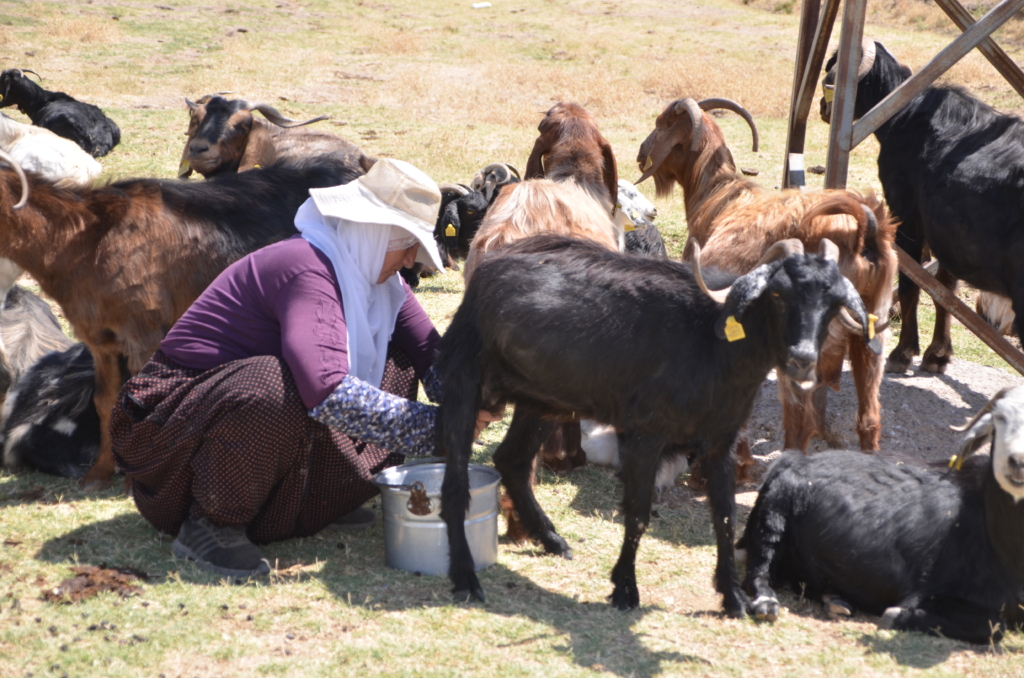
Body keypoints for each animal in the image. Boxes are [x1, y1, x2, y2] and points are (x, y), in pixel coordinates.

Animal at [428, 233, 876, 614]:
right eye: (779, 294)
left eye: (833, 303)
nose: (802, 359)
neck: (710, 342)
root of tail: (487, 269)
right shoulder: (644, 436)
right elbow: (638, 513)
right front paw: (625, 589)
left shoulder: (721, 442)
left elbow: (725, 516)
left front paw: (733, 597)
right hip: (464, 380)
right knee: (455, 483)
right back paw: (465, 578)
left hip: (541, 402)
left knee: (512, 462)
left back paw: (553, 540)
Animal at [634, 96, 892, 467]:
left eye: (661, 124)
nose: (641, 153)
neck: (718, 194)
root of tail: (862, 230)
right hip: (872, 332)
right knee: (869, 416)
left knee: (800, 424)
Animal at [741, 385, 1024, 647]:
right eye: (999, 417)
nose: (1017, 462)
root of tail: (794, 460)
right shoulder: (927, 591)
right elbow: (994, 627)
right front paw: (897, 616)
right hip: (771, 523)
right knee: (758, 573)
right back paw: (767, 604)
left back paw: (836, 601)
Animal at [819, 39, 1024, 374]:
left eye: (832, 66)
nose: (824, 108)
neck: (904, 115)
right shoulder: (946, 235)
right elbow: (945, 289)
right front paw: (937, 353)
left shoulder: (907, 217)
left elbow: (910, 286)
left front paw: (903, 352)